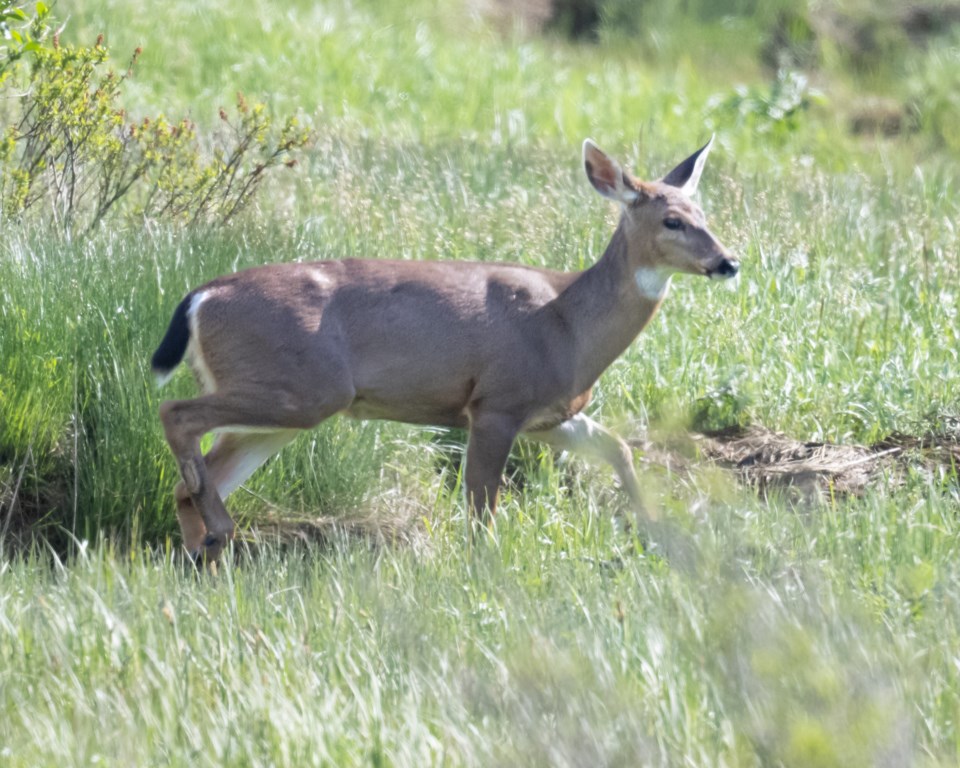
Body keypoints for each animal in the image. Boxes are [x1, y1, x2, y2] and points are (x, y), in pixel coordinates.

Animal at [150, 138, 740, 560]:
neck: (567, 326)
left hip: (279, 408)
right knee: (174, 411)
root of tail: (198, 298)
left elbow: (618, 448)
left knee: (186, 482)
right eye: (671, 220)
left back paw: (205, 553)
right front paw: (485, 570)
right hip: (302, 388)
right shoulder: (496, 402)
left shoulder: (549, 414)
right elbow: (482, 510)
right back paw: (217, 532)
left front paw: (655, 532)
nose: (728, 262)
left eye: (705, 216)